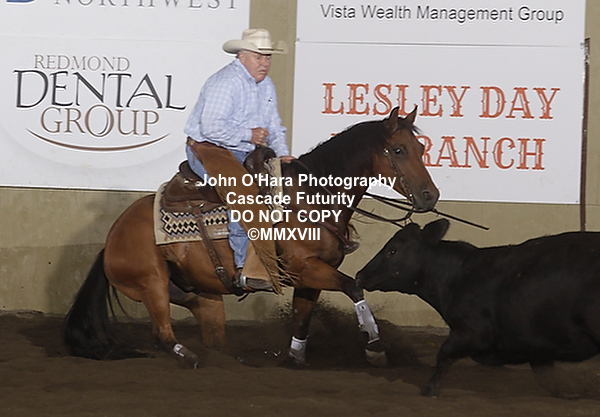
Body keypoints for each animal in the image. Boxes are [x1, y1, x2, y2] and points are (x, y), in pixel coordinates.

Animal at [64, 106, 439, 368]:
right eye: (399, 150)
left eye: (421, 147)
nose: (430, 196)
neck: (312, 198)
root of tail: (112, 237)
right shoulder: (305, 267)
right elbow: (354, 287)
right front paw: (375, 348)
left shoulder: (311, 276)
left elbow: (302, 318)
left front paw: (295, 358)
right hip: (152, 283)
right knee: (162, 335)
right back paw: (192, 358)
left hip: (199, 293)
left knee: (209, 330)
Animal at [356, 219, 600, 397]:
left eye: (393, 251)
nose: (360, 275)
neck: (457, 275)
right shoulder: (535, 343)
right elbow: (547, 378)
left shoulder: (473, 331)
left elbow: (444, 354)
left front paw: (430, 389)